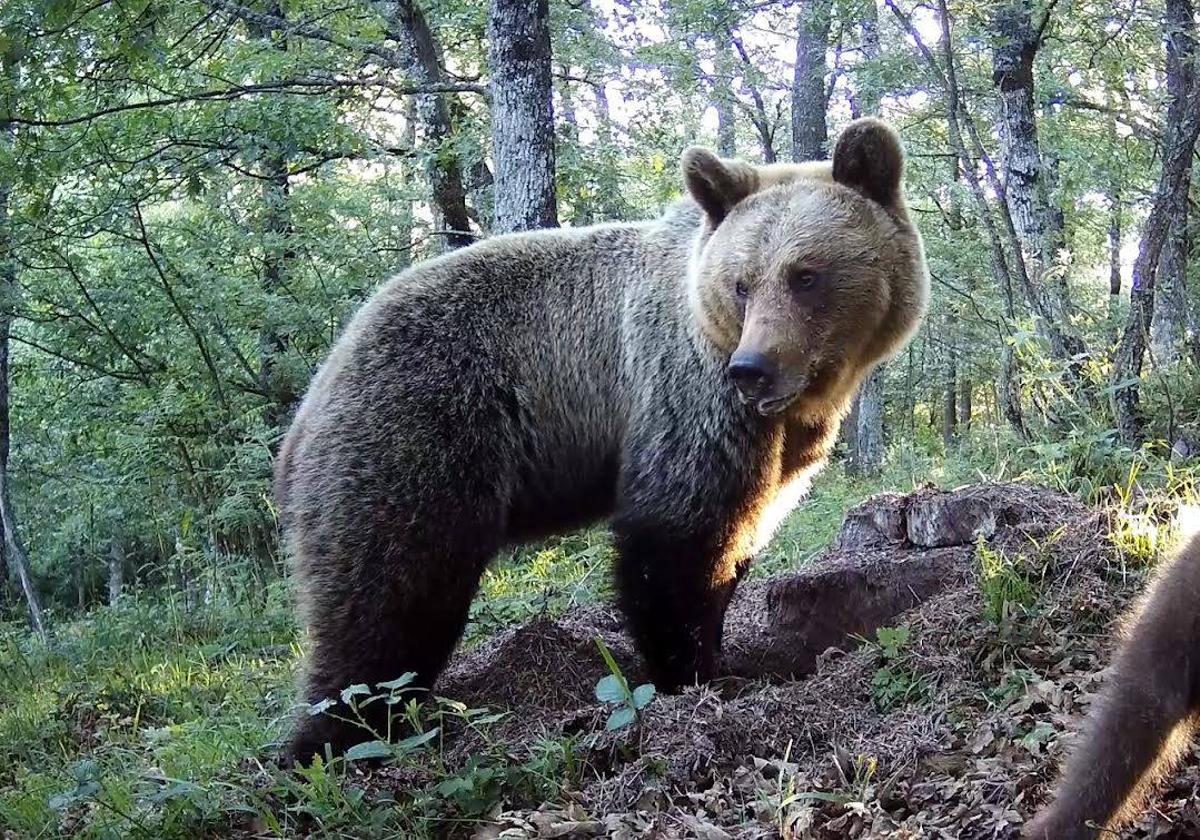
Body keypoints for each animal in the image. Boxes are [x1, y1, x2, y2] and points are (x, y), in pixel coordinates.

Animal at [276, 114, 931, 763]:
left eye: (805, 276)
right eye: (743, 284)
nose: (752, 369)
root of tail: (311, 401)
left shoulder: (783, 445)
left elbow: (744, 531)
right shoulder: (685, 393)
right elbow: (676, 537)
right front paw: (694, 673)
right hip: (419, 433)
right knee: (388, 598)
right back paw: (336, 737)